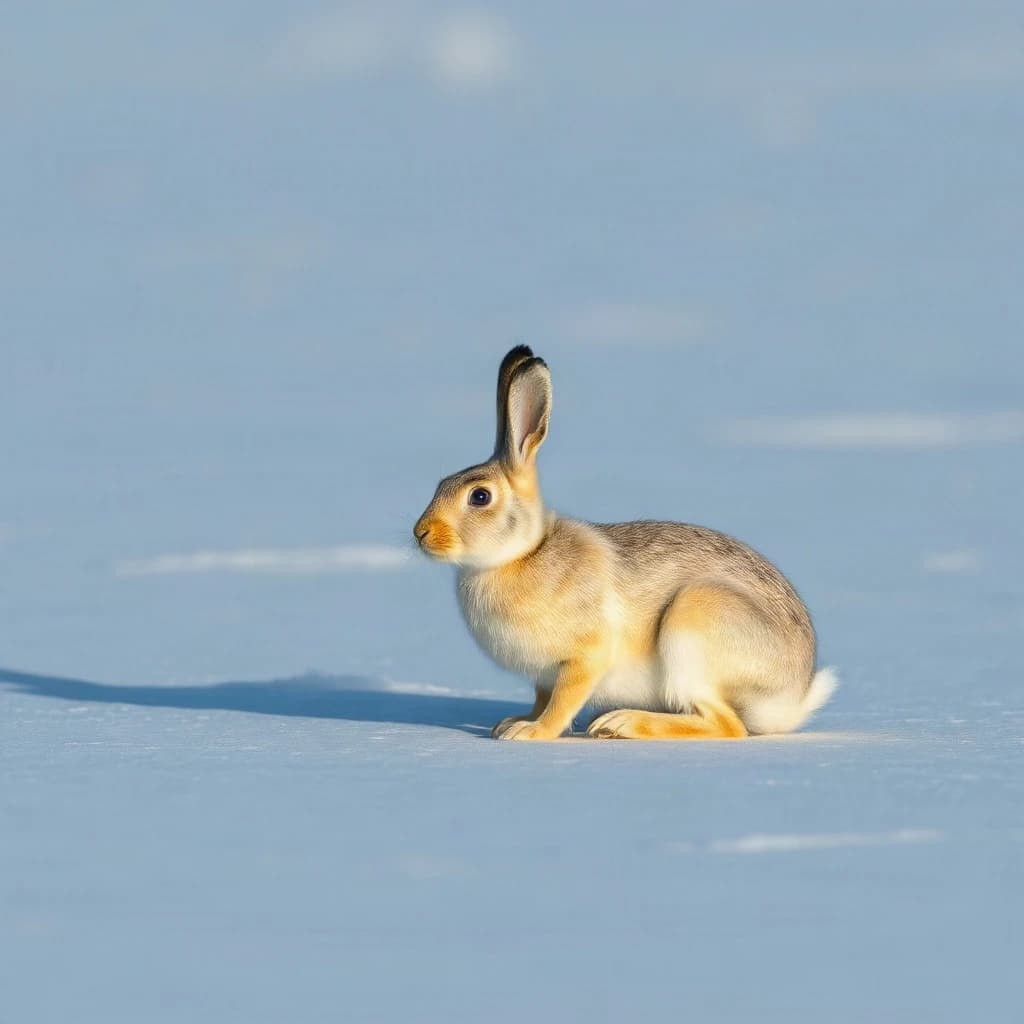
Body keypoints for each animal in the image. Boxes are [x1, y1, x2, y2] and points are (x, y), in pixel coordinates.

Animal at [413, 345, 836, 740]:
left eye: (480, 497)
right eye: (440, 484)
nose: (421, 533)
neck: (523, 553)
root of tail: (789, 697)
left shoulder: (585, 658)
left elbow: (562, 701)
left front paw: (530, 733)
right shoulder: (544, 675)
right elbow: (542, 698)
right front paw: (513, 722)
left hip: (695, 624)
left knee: (726, 725)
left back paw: (620, 724)